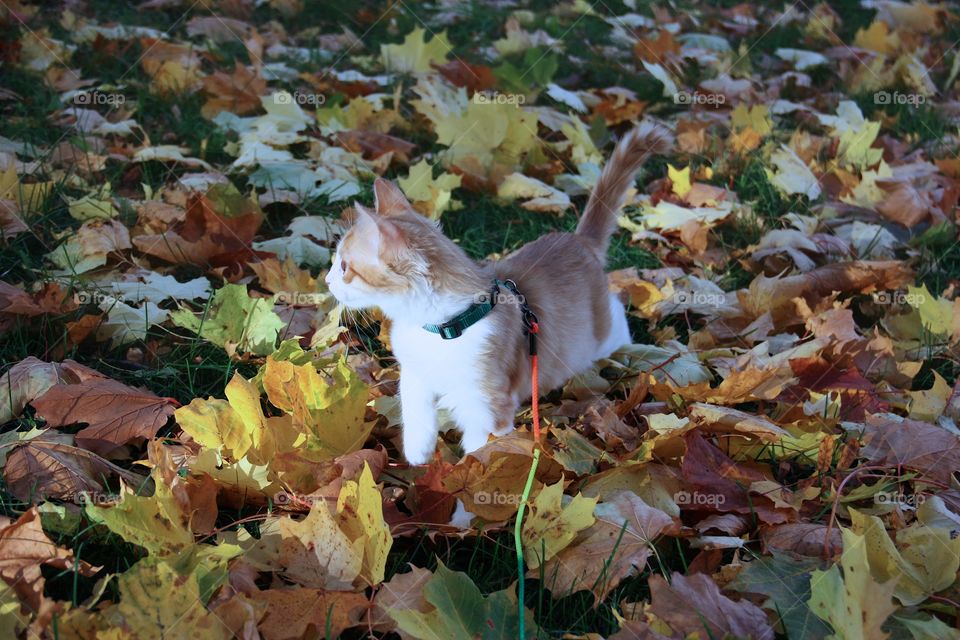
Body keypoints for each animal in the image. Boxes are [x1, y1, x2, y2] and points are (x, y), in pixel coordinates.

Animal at [326, 120, 672, 462]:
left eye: (344, 266)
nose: (327, 280)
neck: (443, 328)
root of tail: (577, 239)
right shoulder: (415, 376)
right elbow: (416, 416)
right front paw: (417, 455)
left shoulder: (487, 405)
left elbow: (483, 454)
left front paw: (468, 475)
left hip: (596, 337)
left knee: (616, 313)